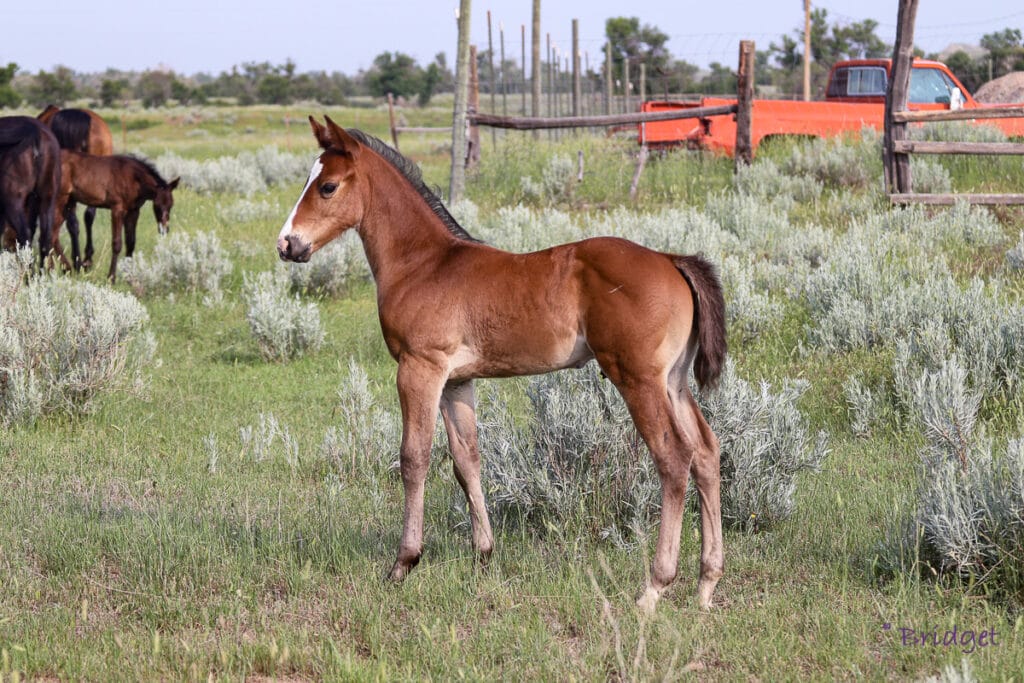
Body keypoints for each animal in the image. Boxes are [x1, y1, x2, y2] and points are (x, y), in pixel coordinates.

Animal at [54, 150, 180, 278]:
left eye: (171, 205)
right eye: (157, 206)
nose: (164, 230)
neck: (133, 178)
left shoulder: (134, 211)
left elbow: (131, 242)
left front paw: (129, 276)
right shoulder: (117, 209)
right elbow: (117, 243)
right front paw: (111, 277)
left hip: (68, 203)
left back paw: (66, 269)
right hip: (60, 200)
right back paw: (67, 268)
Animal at [278, 117, 729, 614]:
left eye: (327, 186)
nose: (287, 244)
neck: (424, 263)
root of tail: (671, 260)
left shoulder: (420, 368)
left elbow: (414, 458)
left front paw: (403, 563)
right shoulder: (457, 382)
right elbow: (466, 460)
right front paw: (483, 556)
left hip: (637, 379)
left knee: (674, 458)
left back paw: (654, 586)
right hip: (674, 382)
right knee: (707, 454)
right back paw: (707, 583)